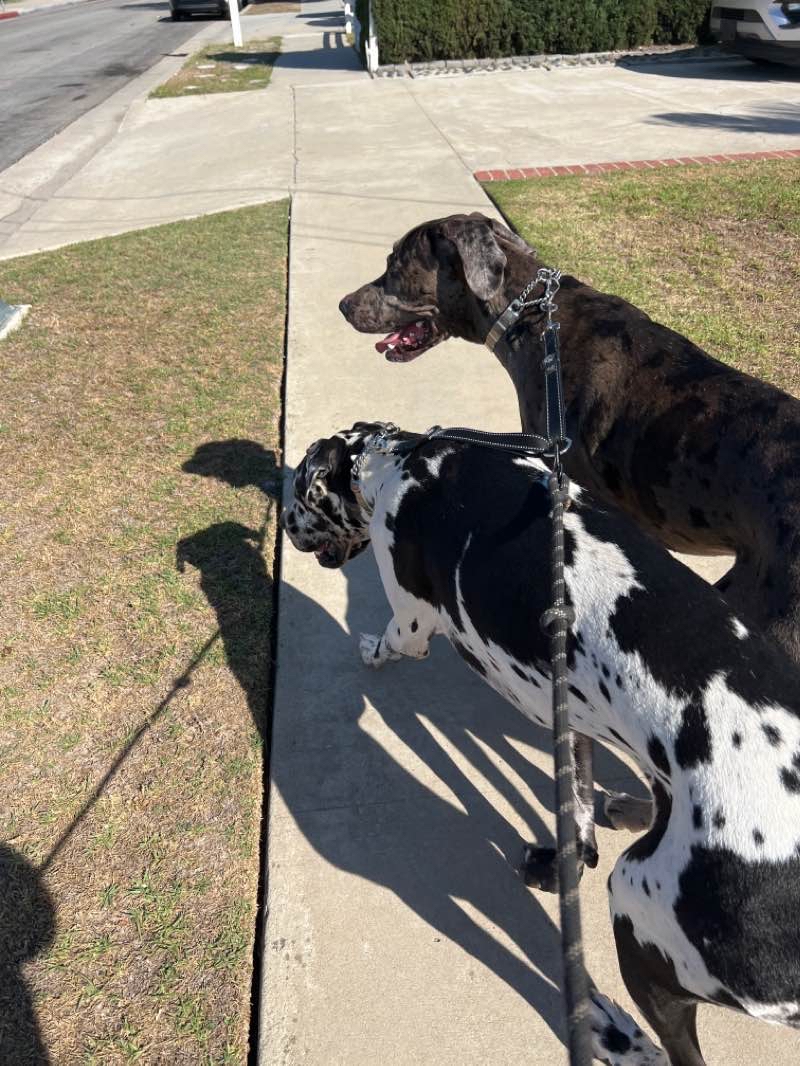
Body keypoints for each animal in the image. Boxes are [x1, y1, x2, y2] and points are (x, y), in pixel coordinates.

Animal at [283, 421, 800, 1066]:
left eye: (298, 492)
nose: (284, 525)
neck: (401, 462)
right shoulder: (572, 717)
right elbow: (577, 827)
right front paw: (564, 857)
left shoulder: (411, 624)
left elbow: (390, 643)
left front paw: (369, 652)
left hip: (637, 908)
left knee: (675, 1051)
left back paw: (611, 1030)